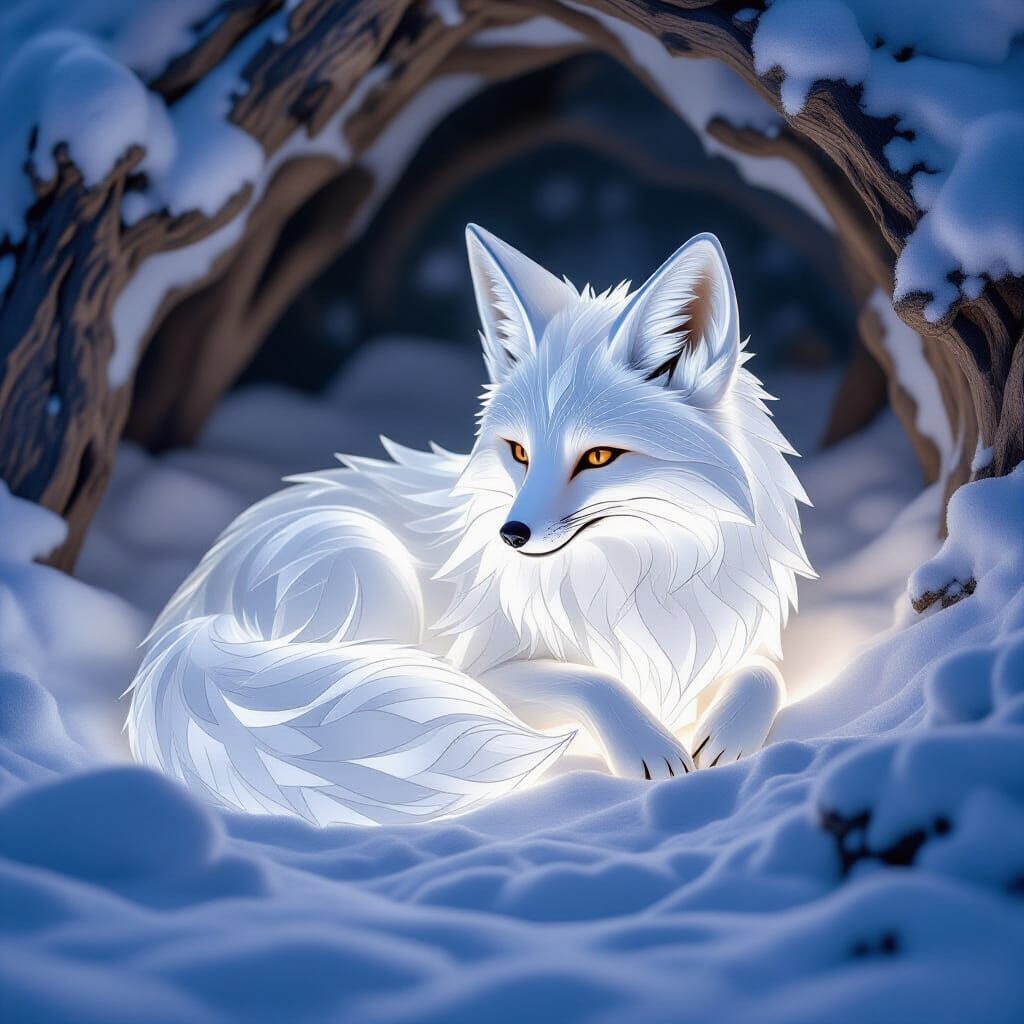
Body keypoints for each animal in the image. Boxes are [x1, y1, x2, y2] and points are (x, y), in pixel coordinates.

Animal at [128, 226, 813, 826]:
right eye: (519, 452)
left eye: (597, 457)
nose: (510, 536)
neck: (639, 577)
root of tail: (192, 616)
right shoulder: (487, 672)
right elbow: (592, 682)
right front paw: (649, 748)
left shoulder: (733, 635)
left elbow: (766, 673)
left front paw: (726, 737)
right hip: (363, 570)